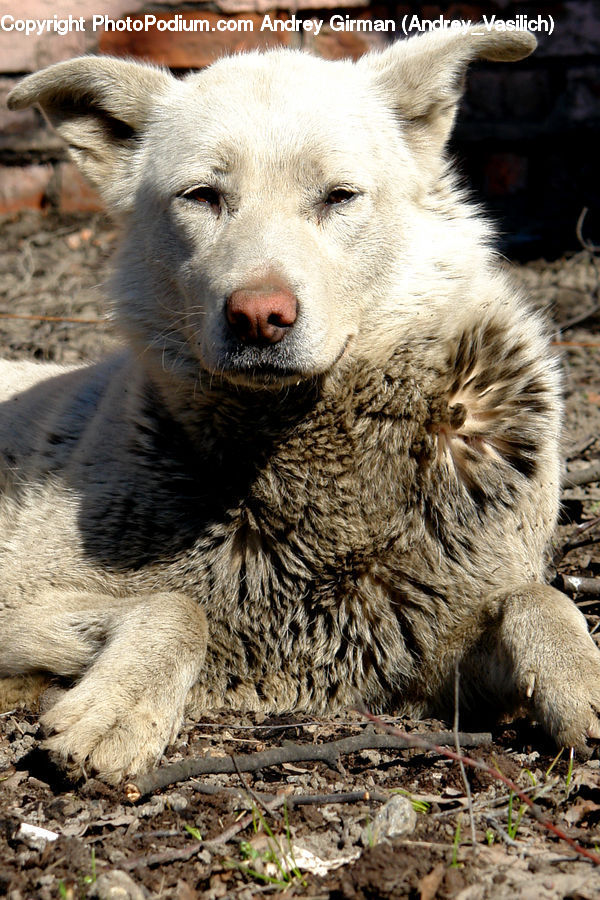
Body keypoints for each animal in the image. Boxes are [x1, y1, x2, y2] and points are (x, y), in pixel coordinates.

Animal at [2, 25, 600, 782]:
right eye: (202, 196)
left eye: (339, 196)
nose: (260, 316)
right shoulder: (20, 598)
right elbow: (177, 607)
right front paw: (115, 712)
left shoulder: (434, 650)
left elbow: (537, 595)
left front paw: (582, 678)